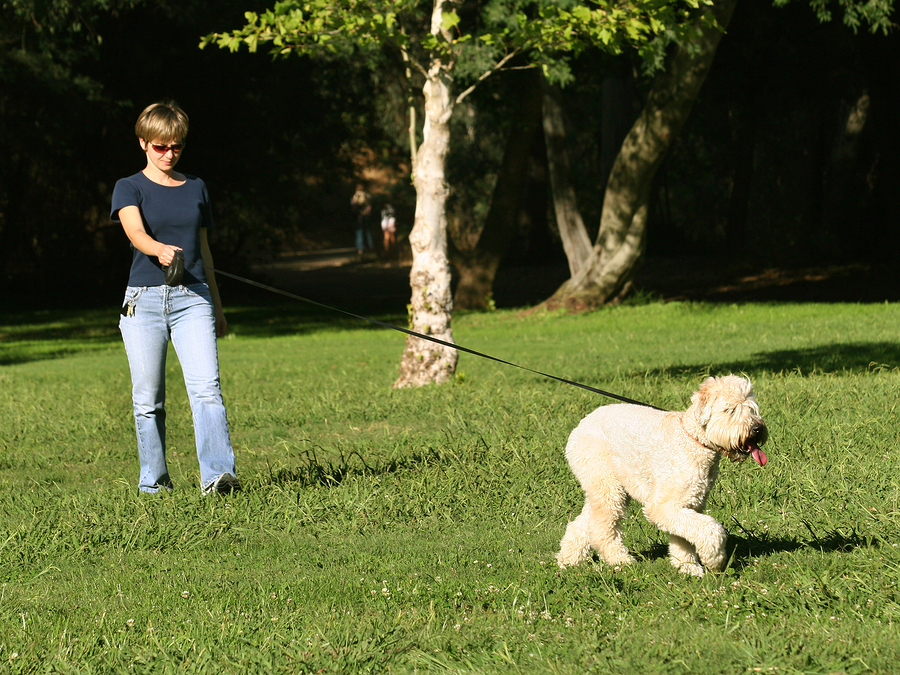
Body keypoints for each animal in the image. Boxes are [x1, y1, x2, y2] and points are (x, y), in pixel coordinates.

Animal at [556, 374, 768, 576]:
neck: (692, 439)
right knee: (602, 528)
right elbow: (710, 528)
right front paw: (715, 559)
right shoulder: (662, 506)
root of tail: (581, 424)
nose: (758, 429)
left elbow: (685, 537)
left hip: (608, 486)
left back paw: (568, 560)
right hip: (607, 484)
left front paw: (688, 567)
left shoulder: (689, 502)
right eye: (730, 410)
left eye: (751, 409)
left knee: (584, 523)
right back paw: (620, 560)